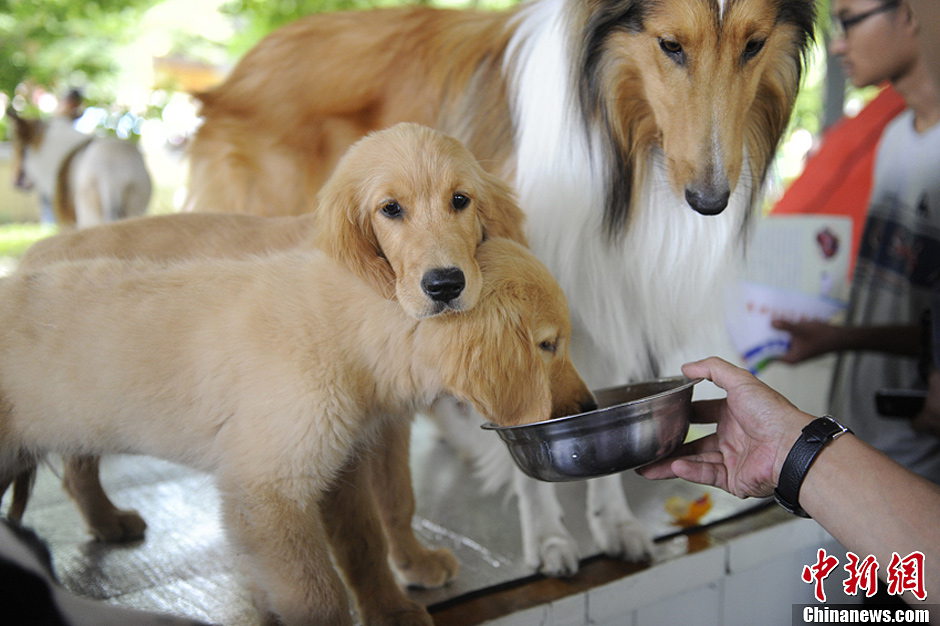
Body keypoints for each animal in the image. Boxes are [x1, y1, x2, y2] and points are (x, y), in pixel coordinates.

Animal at [0, 235, 592, 624]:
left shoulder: (340, 466)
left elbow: (363, 546)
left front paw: (391, 609)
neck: (349, 334)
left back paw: (108, 522)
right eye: (548, 344)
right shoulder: (266, 490)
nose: (586, 405)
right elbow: (316, 594)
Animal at [185, 0, 816, 576]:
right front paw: (549, 538)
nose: (711, 201)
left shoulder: (607, 290)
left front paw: (613, 521)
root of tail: (246, 63)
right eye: (670, 45)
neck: (621, 149)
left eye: (754, 45)